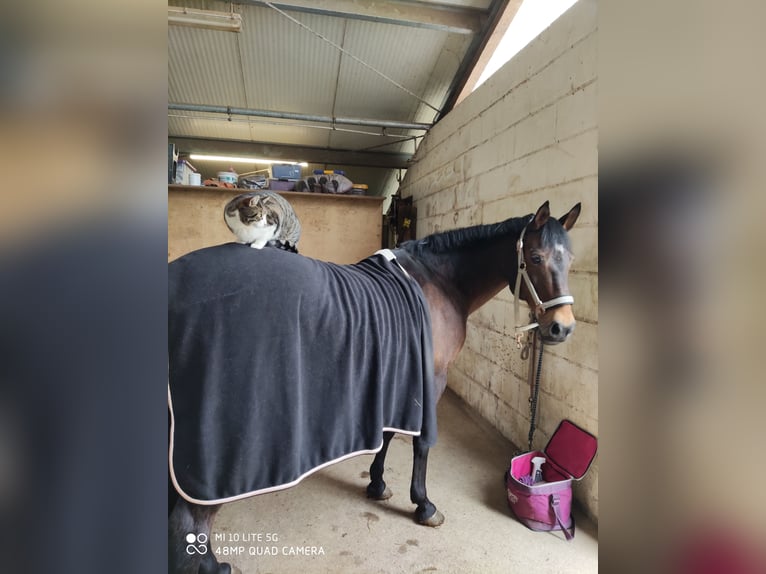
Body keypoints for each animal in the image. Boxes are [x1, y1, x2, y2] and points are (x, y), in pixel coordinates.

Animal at [170, 200, 584, 572]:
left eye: (569, 261)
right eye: (535, 257)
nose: (561, 328)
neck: (440, 281)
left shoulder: (395, 374)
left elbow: (386, 434)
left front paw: (377, 484)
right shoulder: (429, 379)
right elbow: (420, 443)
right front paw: (424, 505)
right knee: (193, 518)